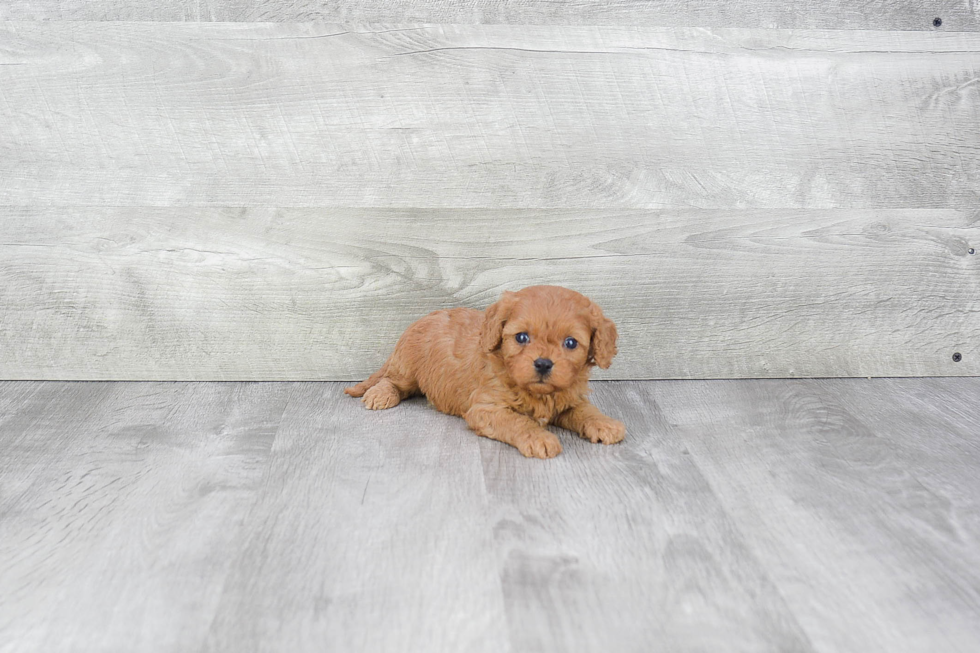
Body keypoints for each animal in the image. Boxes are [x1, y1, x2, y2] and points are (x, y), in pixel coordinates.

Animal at [344, 286, 624, 458]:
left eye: (571, 343)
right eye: (521, 337)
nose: (543, 363)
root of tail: (421, 319)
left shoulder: (568, 399)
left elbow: (585, 410)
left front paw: (605, 423)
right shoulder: (487, 409)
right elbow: (518, 421)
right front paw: (539, 438)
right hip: (407, 367)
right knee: (392, 380)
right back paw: (380, 395)